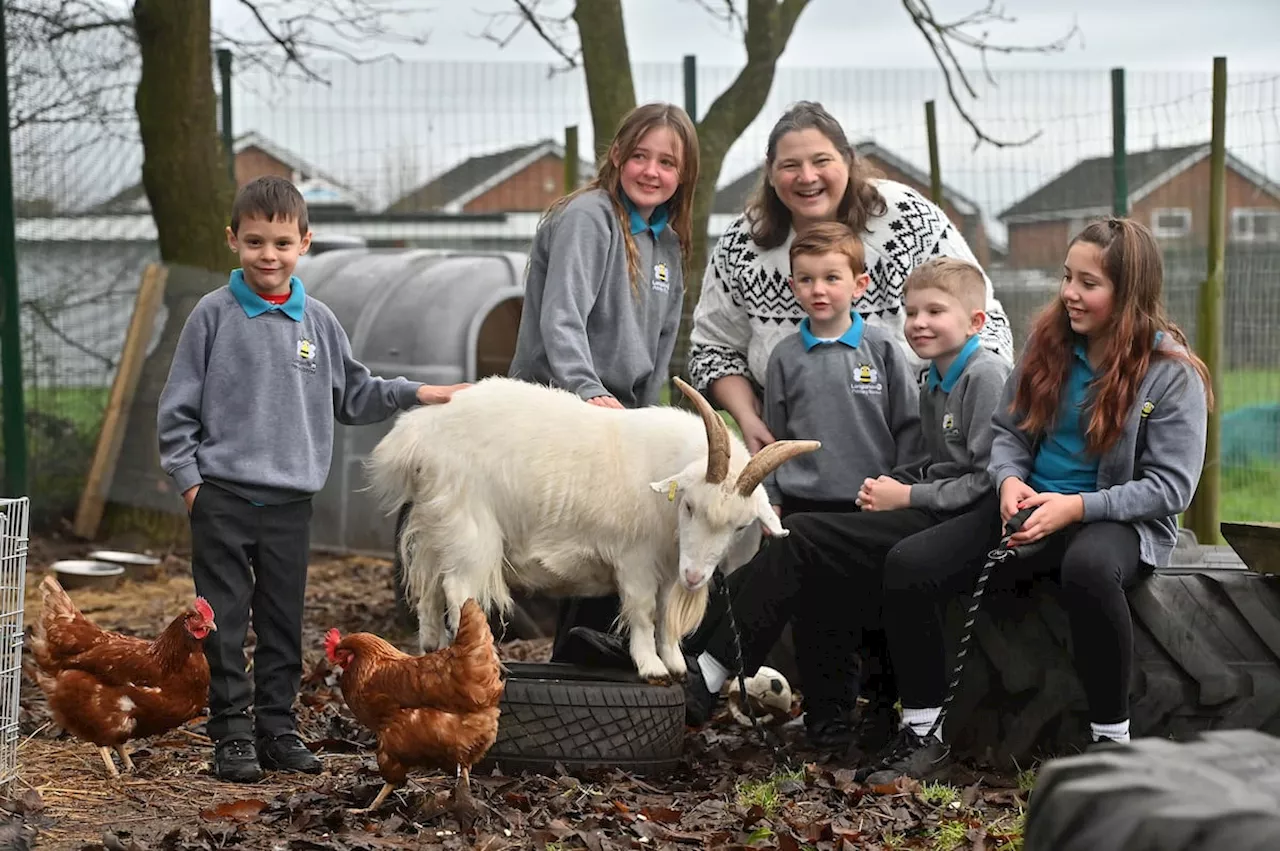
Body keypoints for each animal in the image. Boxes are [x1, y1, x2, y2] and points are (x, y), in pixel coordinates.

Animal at [366, 376, 814, 680]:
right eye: (689, 506)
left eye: (740, 527)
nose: (694, 576)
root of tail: (417, 434)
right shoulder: (636, 560)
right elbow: (644, 611)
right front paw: (651, 667)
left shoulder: (669, 567)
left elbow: (666, 612)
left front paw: (674, 663)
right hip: (470, 526)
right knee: (459, 590)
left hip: (436, 521)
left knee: (428, 583)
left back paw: (432, 645)